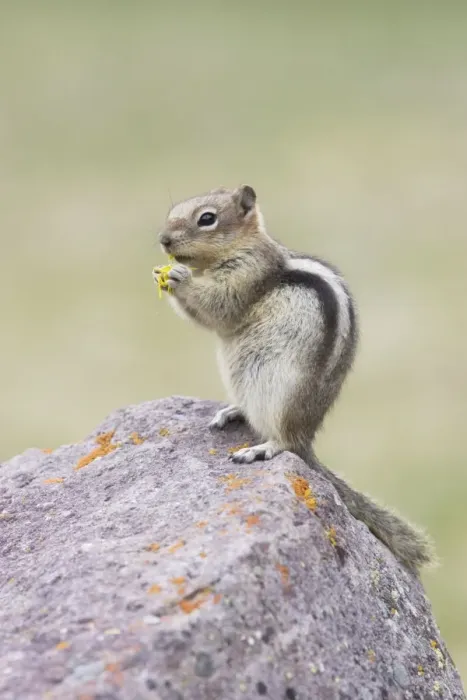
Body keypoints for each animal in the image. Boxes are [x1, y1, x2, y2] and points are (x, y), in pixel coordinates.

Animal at [153, 184, 435, 573]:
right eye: (173, 212)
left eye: (206, 219)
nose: (163, 240)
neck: (242, 248)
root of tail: (307, 438)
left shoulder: (246, 277)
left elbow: (218, 307)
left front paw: (179, 277)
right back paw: (233, 412)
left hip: (280, 397)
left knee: (285, 444)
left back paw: (260, 449)